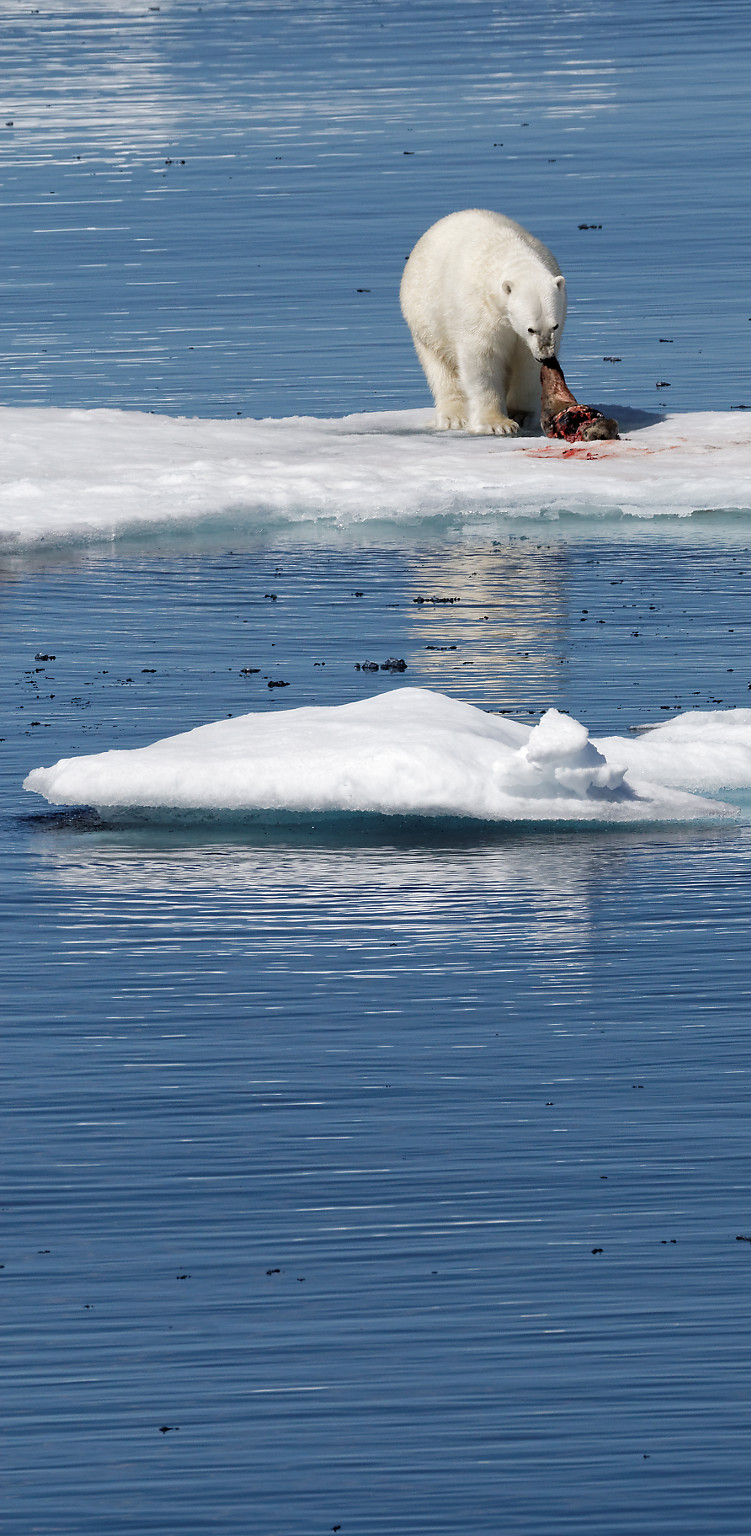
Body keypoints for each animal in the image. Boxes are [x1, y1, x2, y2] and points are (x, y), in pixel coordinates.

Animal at [402, 207, 565, 436]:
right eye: (530, 329)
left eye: (555, 326)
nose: (546, 356)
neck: (512, 254)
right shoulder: (480, 311)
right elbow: (482, 359)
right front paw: (497, 423)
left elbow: (526, 364)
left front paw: (522, 415)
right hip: (426, 319)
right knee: (440, 366)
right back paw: (454, 417)